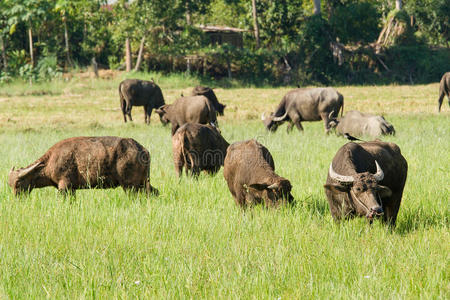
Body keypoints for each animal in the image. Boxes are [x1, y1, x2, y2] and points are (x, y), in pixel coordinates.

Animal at [7, 137, 160, 197]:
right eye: (11, 185)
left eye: (18, 183)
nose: (17, 198)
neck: (50, 161)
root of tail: (143, 150)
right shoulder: (72, 189)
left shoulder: (64, 187)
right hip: (142, 183)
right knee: (154, 192)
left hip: (130, 186)